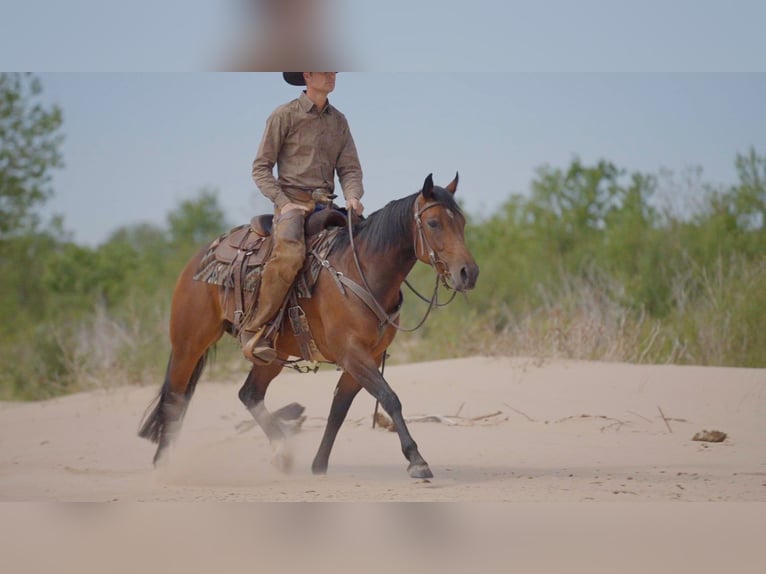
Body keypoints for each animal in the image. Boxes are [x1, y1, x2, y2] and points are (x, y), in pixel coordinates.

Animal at [138, 173, 479, 479]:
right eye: (434, 223)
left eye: (462, 223)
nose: (468, 273)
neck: (362, 270)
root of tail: (200, 257)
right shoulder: (352, 353)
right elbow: (389, 398)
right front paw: (417, 461)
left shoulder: (365, 357)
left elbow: (339, 409)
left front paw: (319, 464)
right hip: (188, 344)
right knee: (175, 398)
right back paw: (163, 464)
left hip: (271, 354)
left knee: (249, 394)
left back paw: (282, 453)